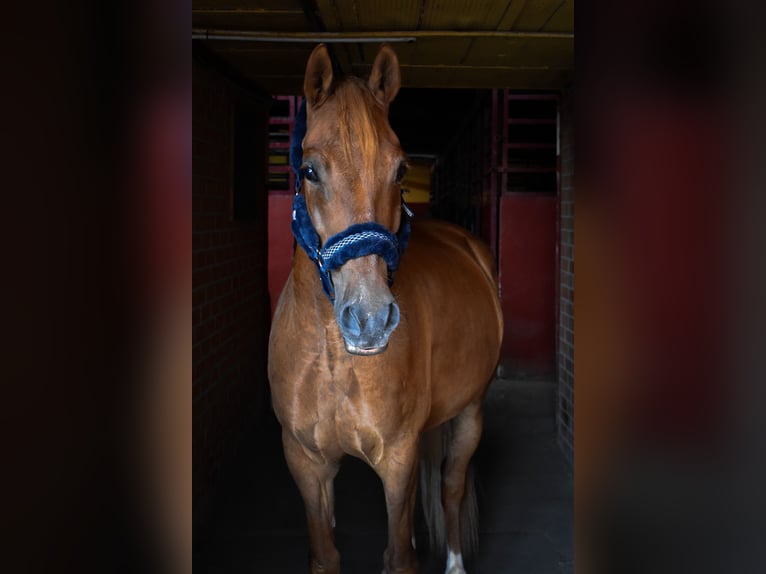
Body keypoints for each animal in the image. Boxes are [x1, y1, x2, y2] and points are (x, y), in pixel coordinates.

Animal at [268, 43, 503, 574]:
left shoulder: (398, 459)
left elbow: (400, 556)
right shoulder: (304, 462)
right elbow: (326, 552)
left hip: (471, 413)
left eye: (399, 170)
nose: (370, 319)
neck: (333, 356)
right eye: (309, 170)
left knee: (451, 487)